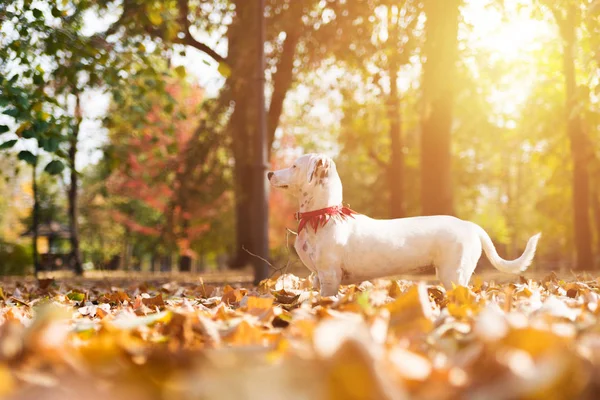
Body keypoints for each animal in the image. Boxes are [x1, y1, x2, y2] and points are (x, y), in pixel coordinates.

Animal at [270, 153, 540, 296]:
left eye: (294, 165)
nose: (269, 174)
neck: (323, 214)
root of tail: (470, 226)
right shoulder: (318, 277)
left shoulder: (329, 276)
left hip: (454, 273)